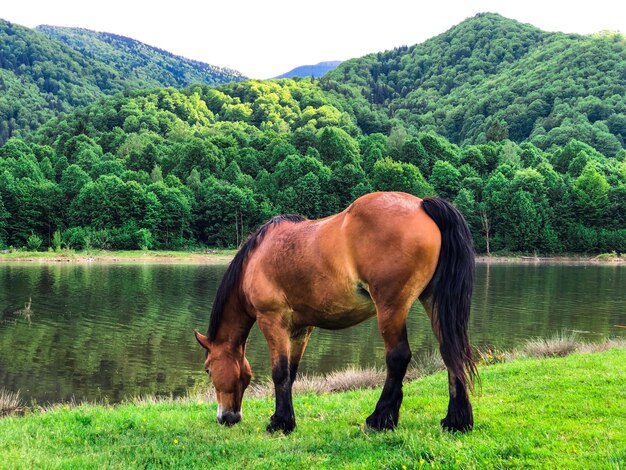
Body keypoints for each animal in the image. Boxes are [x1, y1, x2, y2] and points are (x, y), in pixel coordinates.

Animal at [193, 191, 476, 434]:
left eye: (208, 369)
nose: (226, 417)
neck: (256, 259)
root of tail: (421, 205)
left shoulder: (272, 320)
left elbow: (279, 372)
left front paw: (279, 423)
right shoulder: (300, 329)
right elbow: (291, 373)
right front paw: (286, 419)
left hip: (391, 306)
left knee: (398, 357)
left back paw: (379, 419)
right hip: (432, 301)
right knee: (450, 352)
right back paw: (456, 421)